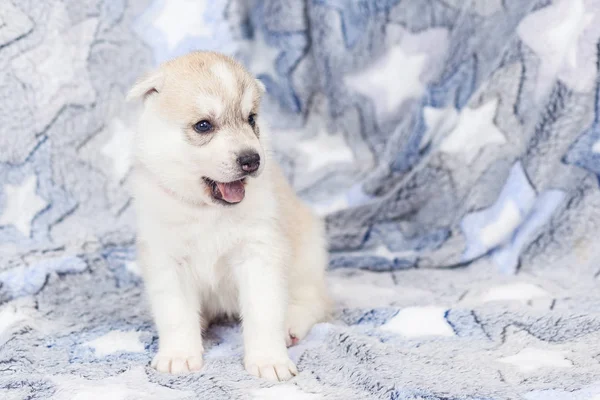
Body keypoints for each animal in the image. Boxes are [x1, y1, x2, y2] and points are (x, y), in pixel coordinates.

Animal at [128, 52, 330, 382]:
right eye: (203, 125)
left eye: (252, 119)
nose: (252, 159)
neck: (207, 211)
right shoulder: (166, 259)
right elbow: (176, 313)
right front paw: (178, 355)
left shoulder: (259, 253)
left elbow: (263, 312)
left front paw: (268, 360)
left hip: (308, 258)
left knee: (313, 300)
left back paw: (291, 324)